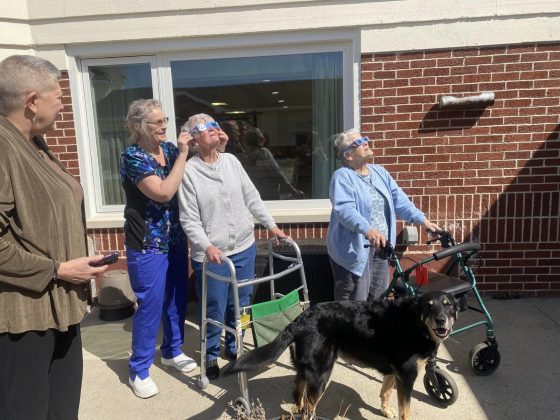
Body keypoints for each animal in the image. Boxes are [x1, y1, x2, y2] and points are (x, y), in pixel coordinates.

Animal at [225, 290, 458, 418]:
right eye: (429, 307)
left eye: (448, 306)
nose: (441, 321)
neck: (416, 324)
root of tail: (300, 319)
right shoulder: (407, 376)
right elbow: (406, 411)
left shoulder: (395, 373)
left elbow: (386, 393)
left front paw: (385, 411)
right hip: (321, 374)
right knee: (308, 407)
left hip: (306, 369)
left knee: (298, 393)